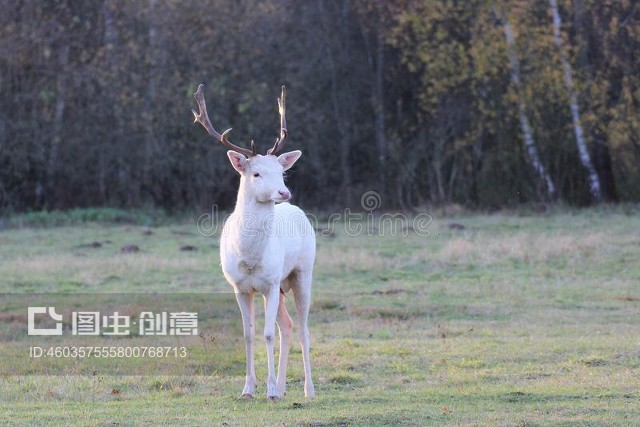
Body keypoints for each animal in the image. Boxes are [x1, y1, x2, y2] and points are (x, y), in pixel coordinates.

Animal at [191, 84, 316, 400]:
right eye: (256, 173)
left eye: (281, 172)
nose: (284, 192)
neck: (249, 258)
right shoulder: (240, 287)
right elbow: (248, 334)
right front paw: (248, 389)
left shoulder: (269, 284)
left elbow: (267, 334)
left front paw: (268, 390)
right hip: (281, 286)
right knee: (287, 325)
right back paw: (283, 387)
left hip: (301, 272)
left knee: (303, 327)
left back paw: (307, 389)